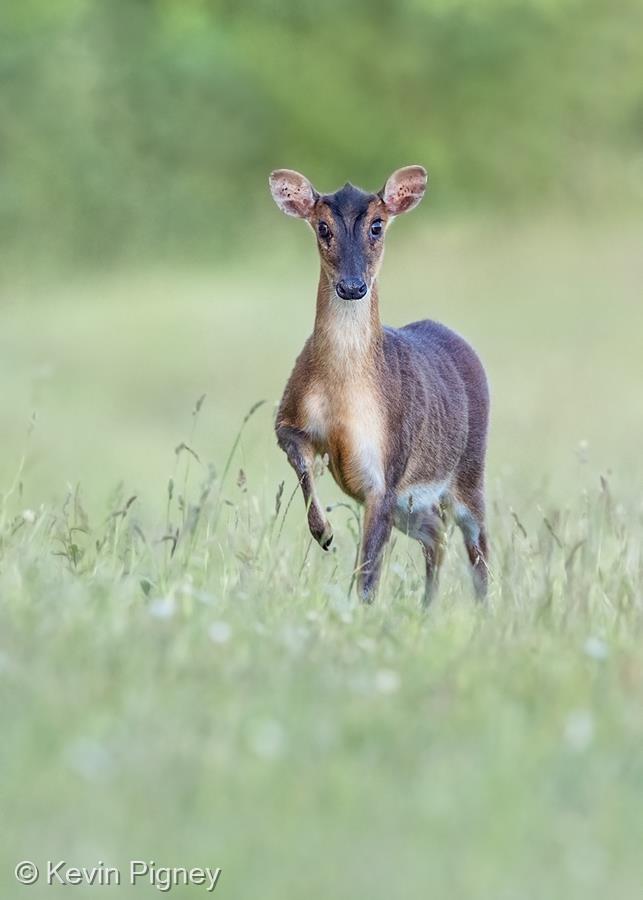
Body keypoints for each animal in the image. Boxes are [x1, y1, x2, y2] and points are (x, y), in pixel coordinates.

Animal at [270, 168, 488, 604]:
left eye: (377, 225)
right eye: (323, 227)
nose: (353, 286)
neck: (344, 391)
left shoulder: (387, 470)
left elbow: (368, 573)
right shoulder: (289, 416)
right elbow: (302, 465)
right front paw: (324, 533)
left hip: (470, 473)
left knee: (479, 550)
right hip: (414, 503)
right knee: (436, 536)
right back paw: (427, 607)